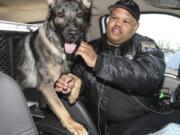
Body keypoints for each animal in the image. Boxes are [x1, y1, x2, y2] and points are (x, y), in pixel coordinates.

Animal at [14, 0, 91, 134]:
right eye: (60, 14)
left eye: (80, 15)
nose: (73, 34)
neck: (58, 48)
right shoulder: (45, 85)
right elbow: (60, 108)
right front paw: (74, 125)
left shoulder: (62, 75)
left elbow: (78, 79)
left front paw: (73, 96)